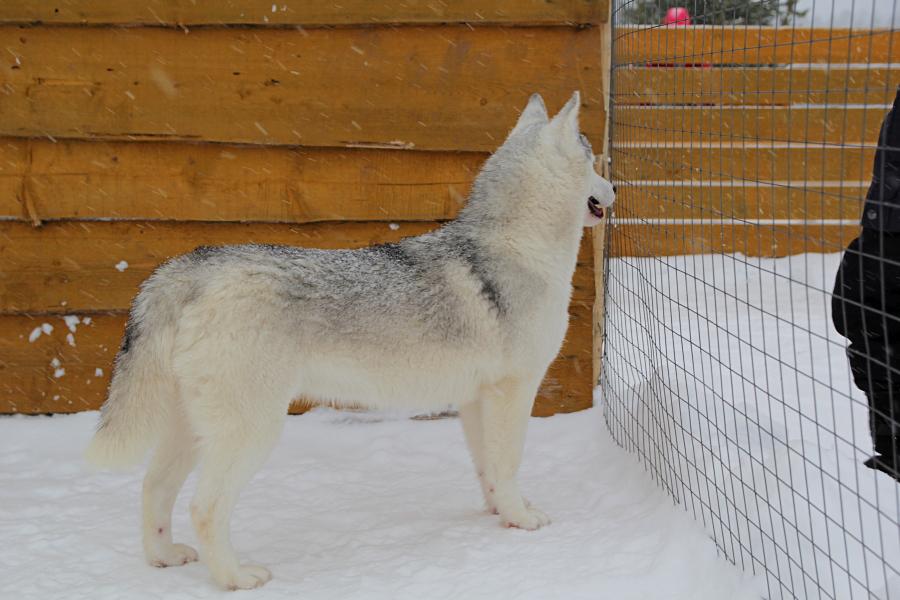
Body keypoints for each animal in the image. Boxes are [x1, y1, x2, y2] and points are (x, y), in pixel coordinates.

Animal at [86, 91, 612, 588]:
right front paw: (523, 519)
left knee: (153, 488)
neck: (518, 248)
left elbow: (489, 474)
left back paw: (164, 558)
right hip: (252, 431)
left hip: (192, 430)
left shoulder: (475, 401)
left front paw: (499, 515)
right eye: (593, 161)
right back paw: (235, 578)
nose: (614, 191)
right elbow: (508, 465)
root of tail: (191, 266)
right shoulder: (513, 392)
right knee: (205, 507)